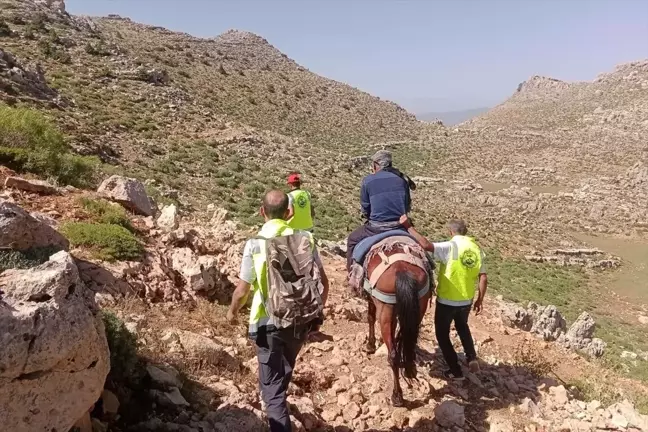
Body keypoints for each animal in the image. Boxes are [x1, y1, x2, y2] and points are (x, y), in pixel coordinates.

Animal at [362, 245, 432, 406]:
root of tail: (402, 269)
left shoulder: (371, 298)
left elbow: (370, 317)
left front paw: (370, 345)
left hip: (386, 313)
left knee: (393, 355)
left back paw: (397, 396)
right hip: (420, 306)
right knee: (410, 341)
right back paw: (409, 368)